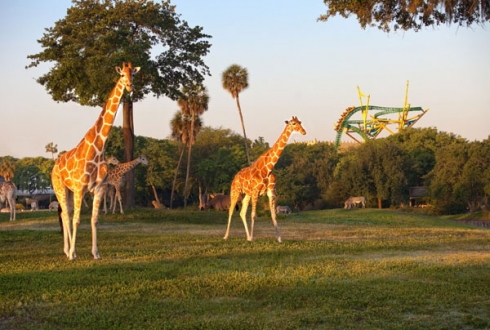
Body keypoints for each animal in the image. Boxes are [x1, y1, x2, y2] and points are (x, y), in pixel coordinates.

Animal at [52, 60, 140, 260]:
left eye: (133, 74)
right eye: (122, 75)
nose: (130, 86)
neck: (99, 148)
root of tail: (53, 166)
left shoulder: (99, 188)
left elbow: (95, 220)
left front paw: (96, 253)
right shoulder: (80, 188)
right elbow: (77, 220)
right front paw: (74, 254)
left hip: (69, 191)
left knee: (66, 214)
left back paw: (68, 249)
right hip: (60, 187)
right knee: (67, 215)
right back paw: (69, 252)